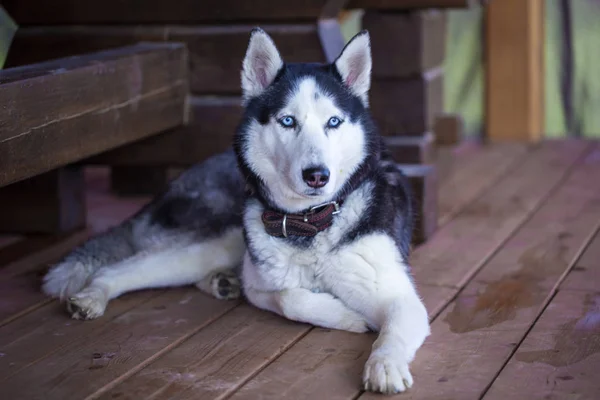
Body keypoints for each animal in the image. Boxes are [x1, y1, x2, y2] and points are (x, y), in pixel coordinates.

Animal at [43, 28, 432, 394]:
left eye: (333, 122)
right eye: (288, 121)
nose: (317, 175)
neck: (310, 223)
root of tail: (176, 182)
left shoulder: (402, 299)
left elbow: (390, 334)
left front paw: (384, 365)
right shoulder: (260, 286)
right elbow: (289, 297)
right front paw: (346, 316)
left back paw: (220, 282)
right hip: (215, 242)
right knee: (118, 269)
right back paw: (93, 294)